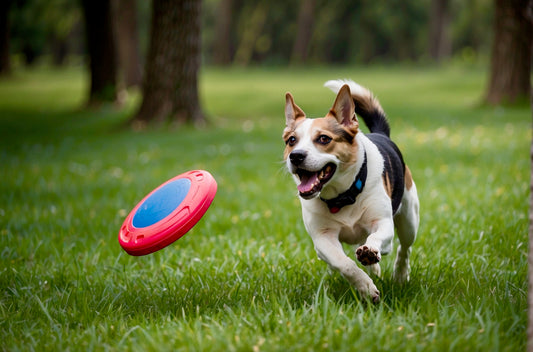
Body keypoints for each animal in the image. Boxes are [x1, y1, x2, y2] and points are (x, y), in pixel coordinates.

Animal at [282, 80, 420, 302]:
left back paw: (399, 274)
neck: (342, 197)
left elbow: (376, 239)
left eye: (323, 139)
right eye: (292, 140)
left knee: (404, 248)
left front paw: (371, 253)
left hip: (409, 220)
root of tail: (381, 134)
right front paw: (366, 287)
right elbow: (343, 263)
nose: (296, 156)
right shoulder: (322, 237)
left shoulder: (383, 225)